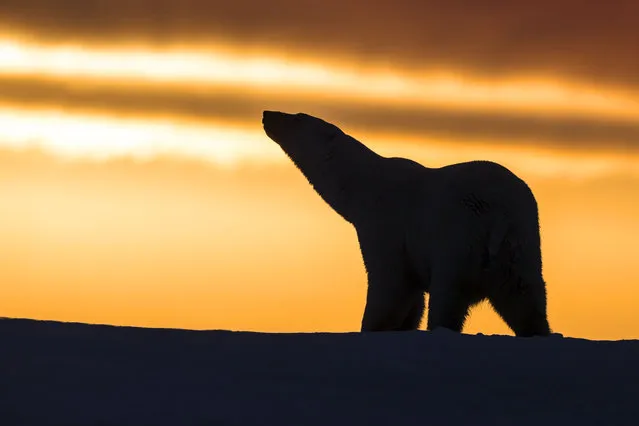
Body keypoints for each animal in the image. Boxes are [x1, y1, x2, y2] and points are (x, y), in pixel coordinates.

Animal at [260, 110, 552, 336]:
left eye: (297, 117)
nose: (267, 113)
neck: (365, 187)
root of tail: (498, 214)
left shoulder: (385, 227)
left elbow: (390, 285)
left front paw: (371, 328)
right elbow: (412, 299)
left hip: (459, 240)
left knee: (448, 296)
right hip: (520, 245)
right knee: (524, 297)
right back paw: (538, 331)